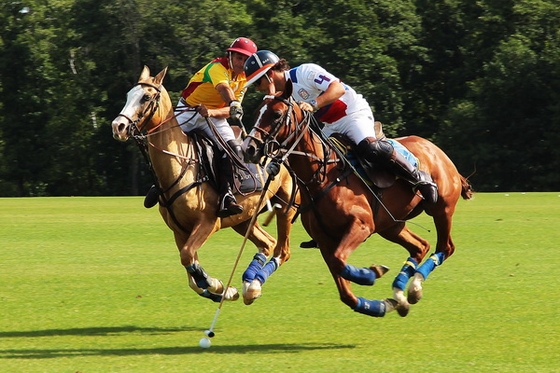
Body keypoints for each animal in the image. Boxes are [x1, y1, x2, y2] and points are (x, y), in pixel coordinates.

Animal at [111, 66, 300, 306]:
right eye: (128, 95)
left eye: (146, 97)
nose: (118, 126)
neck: (180, 163)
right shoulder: (179, 230)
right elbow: (191, 272)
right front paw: (226, 291)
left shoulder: (208, 222)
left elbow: (187, 257)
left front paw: (216, 284)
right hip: (243, 218)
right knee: (267, 242)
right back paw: (248, 283)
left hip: (286, 207)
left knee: (282, 250)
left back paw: (253, 286)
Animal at [243, 80, 474, 316]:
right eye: (256, 112)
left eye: (277, 114)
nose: (248, 148)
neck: (320, 176)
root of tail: (438, 151)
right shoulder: (325, 240)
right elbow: (344, 287)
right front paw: (380, 305)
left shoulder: (361, 225)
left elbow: (339, 261)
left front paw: (373, 273)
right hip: (390, 225)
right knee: (420, 246)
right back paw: (400, 294)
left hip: (441, 209)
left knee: (445, 247)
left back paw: (415, 287)